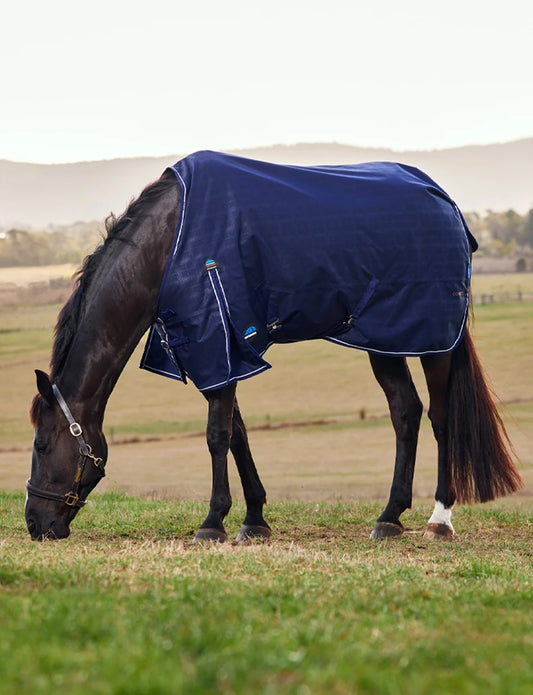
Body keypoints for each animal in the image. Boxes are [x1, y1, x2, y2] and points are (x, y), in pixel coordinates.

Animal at [25, 151, 522, 542]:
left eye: (43, 446)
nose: (34, 523)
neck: (170, 243)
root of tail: (446, 202)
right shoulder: (222, 354)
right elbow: (237, 434)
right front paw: (254, 520)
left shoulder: (217, 343)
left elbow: (216, 436)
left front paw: (212, 523)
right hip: (385, 338)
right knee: (406, 411)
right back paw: (389, 517)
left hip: (432, 340)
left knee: (440, 416)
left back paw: (440, 519)